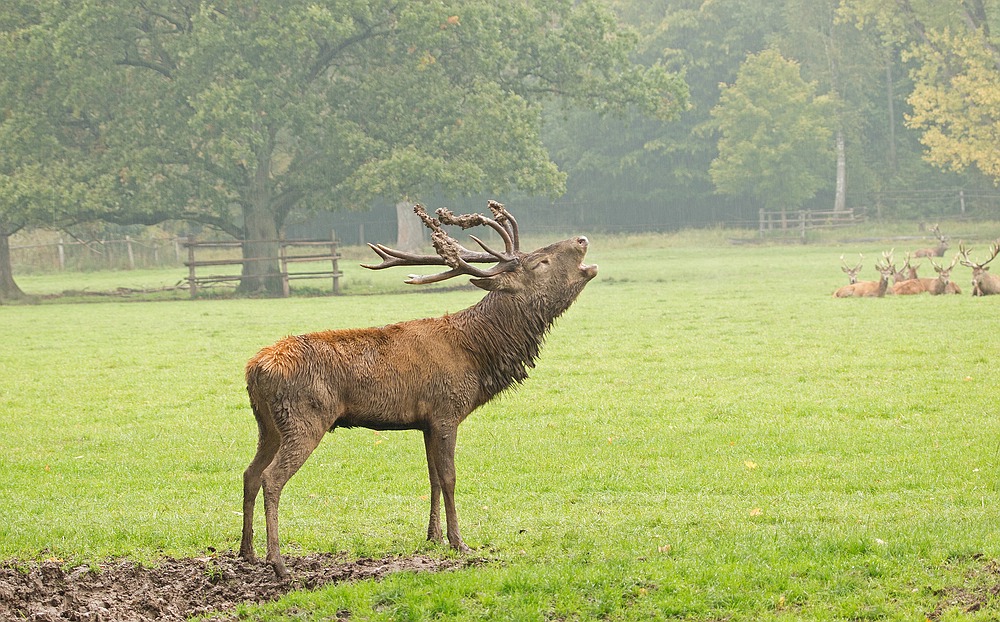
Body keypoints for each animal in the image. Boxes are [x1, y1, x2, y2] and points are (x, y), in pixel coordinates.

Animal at [238, 202, 596, 584]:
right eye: (541, 262)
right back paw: (278, 563)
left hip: (268, 425)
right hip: (304, 418)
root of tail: (254, 368)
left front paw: (433, 536)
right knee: (271, 478)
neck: (478, 355)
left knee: (249, 473)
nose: (582, 239)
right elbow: (450, 477)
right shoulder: (447, 410)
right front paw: (459, 542)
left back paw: (247, 552)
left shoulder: (425, 421)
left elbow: (433, 477)